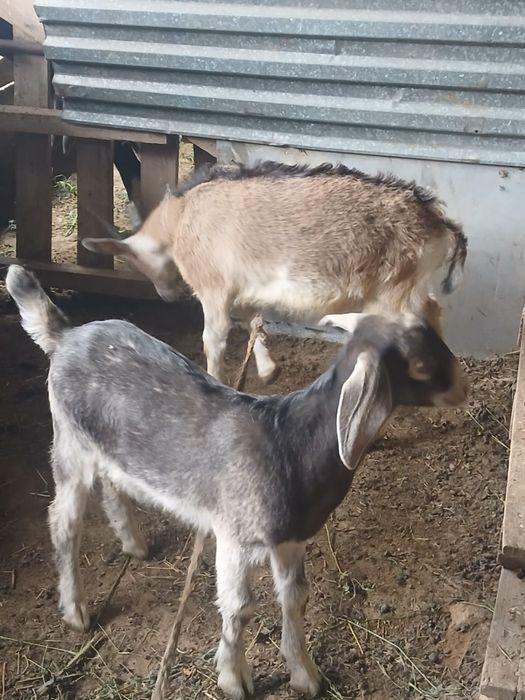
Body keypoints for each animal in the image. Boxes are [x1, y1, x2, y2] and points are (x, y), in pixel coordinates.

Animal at [6, 265, 468, 699]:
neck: (291, 442)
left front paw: (304, 674)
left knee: (112, 483)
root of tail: (66, 336)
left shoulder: (290, 540)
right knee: (63, 521)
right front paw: (233, 678)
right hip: (70, 442)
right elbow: (239, 608)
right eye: (419, 365)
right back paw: (76, 609)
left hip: (108, 446)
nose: (462, 388)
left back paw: (133, 543)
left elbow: (295, 597)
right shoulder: (234, 536)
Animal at [81, 161, 467, 385]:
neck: (181, 219)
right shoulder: (247, 287)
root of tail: (440, 225)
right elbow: (255, 321)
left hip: (391, 287)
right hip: (410, 283)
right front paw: (268, 371)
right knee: (432, 309)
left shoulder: (214, 290)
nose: (167, 295)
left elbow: (214, 339)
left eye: (136, 263)